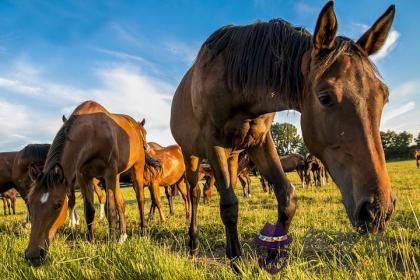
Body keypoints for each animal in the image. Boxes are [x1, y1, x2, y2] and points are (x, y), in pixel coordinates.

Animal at [24, 101, 153, 266]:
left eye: (58, 204)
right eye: (30, 202)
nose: (32, 255)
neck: (93, 132)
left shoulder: (109, 173)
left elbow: (110, 210)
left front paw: (111, 242)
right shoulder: (83, 176)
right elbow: (90, 210)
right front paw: (91, 242)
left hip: (136, 169)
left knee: (140, 199)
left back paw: (142, 230)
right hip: (116, 176)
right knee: (121, 203)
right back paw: (123, 236)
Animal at [169, 1, 396, 264]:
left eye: (384, 96)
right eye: (325, 97)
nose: (378, 210)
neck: (234, 81)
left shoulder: (259, 142)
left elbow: (287, 197)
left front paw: (272, 256)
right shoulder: (213, 144)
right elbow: (228, 206)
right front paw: (236, 261)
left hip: (233, 156)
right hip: (191, 154)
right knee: (195, 193)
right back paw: (193, 244)